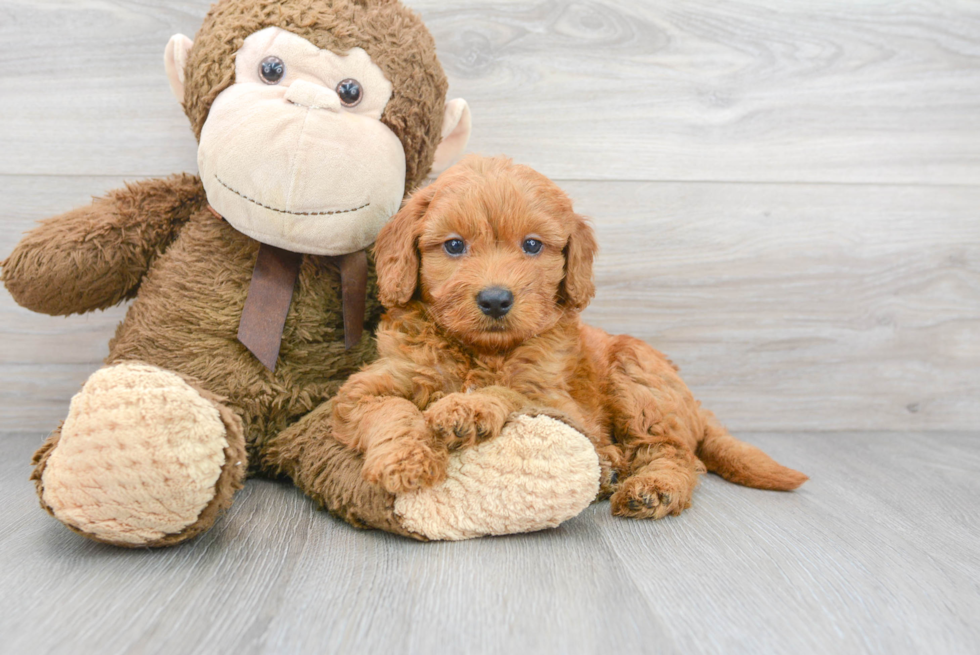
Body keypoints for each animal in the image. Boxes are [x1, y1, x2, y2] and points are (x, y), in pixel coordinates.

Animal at [330, 156, 804, 520]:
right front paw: (405, 459)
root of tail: (695, 405)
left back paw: (653, 488)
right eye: (453, 246)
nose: (496, 299)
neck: (481, 351)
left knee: (673, 453)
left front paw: (467, 407)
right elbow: (391, 408)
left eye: (532, 246)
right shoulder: (365, 389)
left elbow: (511, 391)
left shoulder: (561, 404)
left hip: (637, 375)